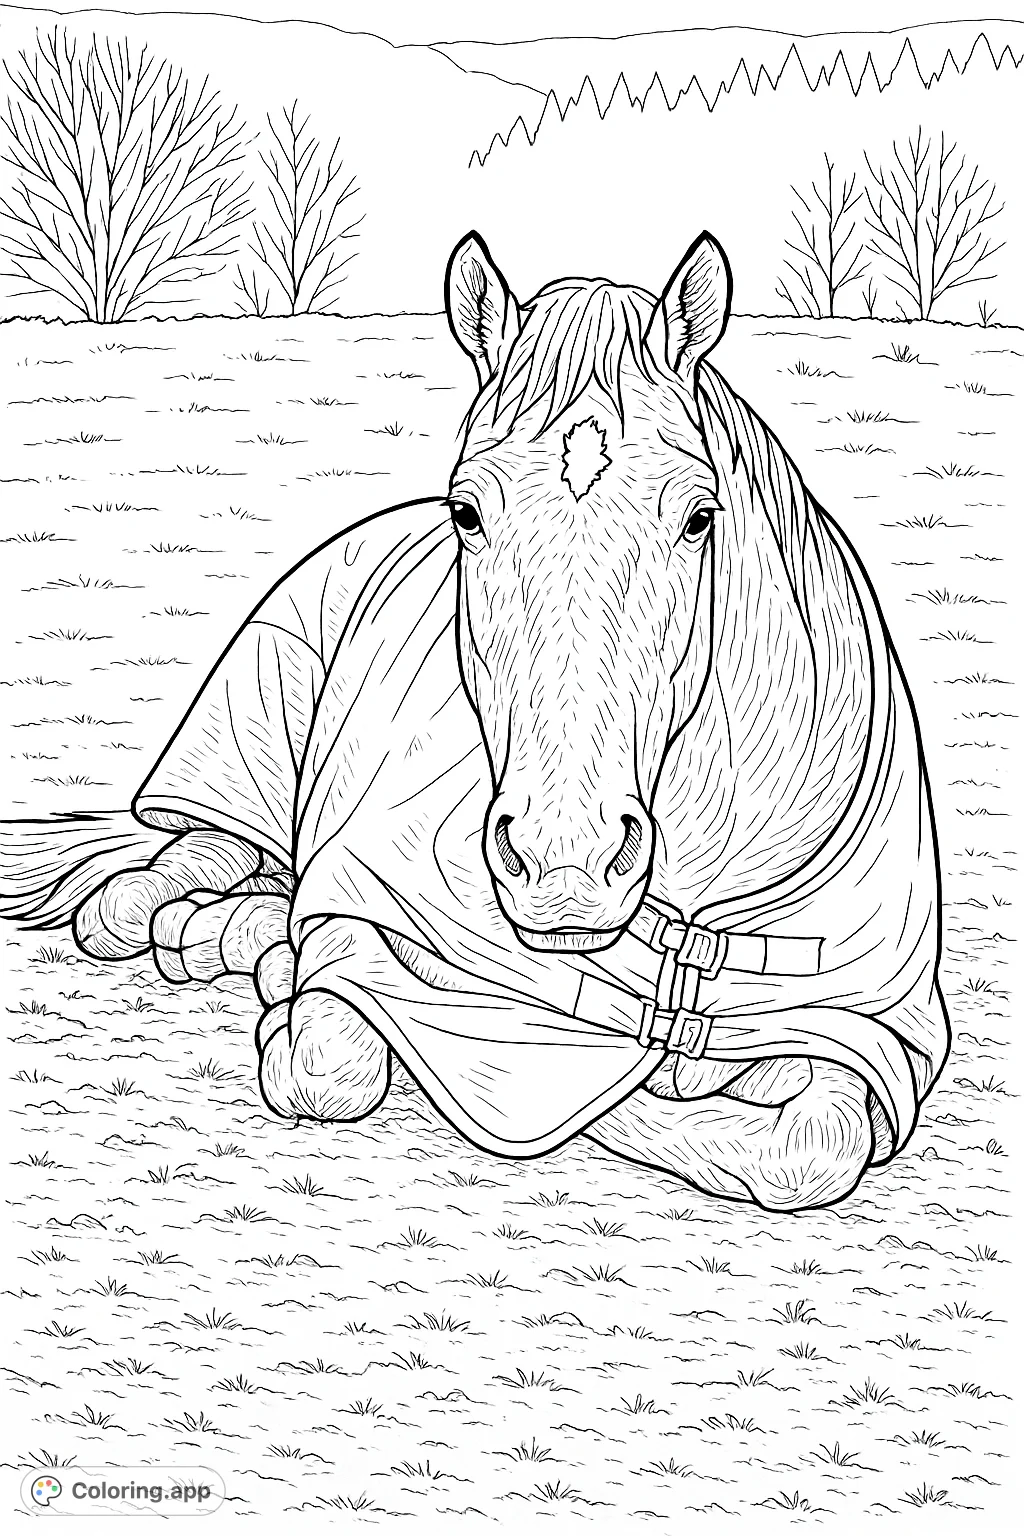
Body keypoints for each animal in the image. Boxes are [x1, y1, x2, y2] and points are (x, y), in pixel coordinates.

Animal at [0, 231, 950, 1211]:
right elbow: (334, 1058)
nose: (566, 866)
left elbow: (810, 1146)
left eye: (699, 516)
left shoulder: (868, 1033)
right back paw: (222, 930)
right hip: (239, 760)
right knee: (149, 889)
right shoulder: (359, 921)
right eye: (467, 512)